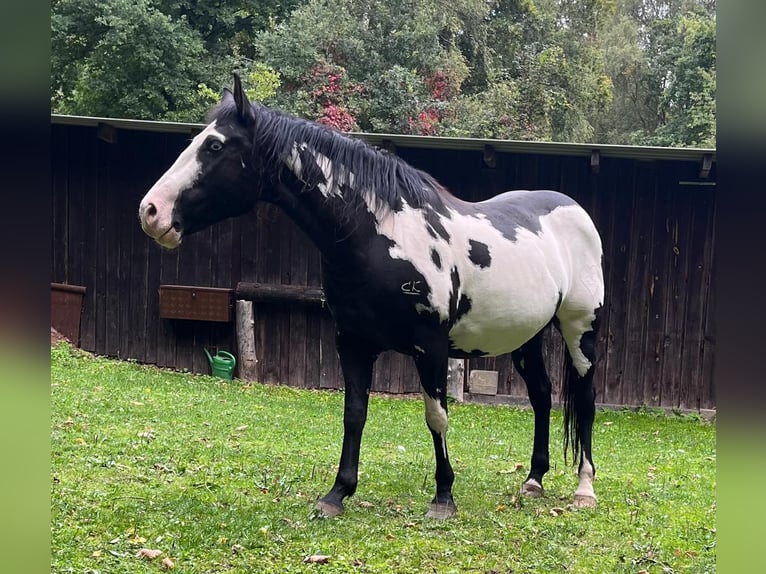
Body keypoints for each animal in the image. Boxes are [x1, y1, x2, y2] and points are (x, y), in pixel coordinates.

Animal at [139, 75, 604, 519]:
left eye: (215, 145)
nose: (150, 211)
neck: (379, 237)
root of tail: (574, 210)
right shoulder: (353, 343)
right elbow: (354, 414)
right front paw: (337, 494)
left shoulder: (431, 347)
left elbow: (436, 416)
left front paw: (443, 497)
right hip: (527, 336)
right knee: (542, 395)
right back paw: (534, 480)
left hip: (580, 329)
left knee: (584, 398)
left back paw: (584, 489)